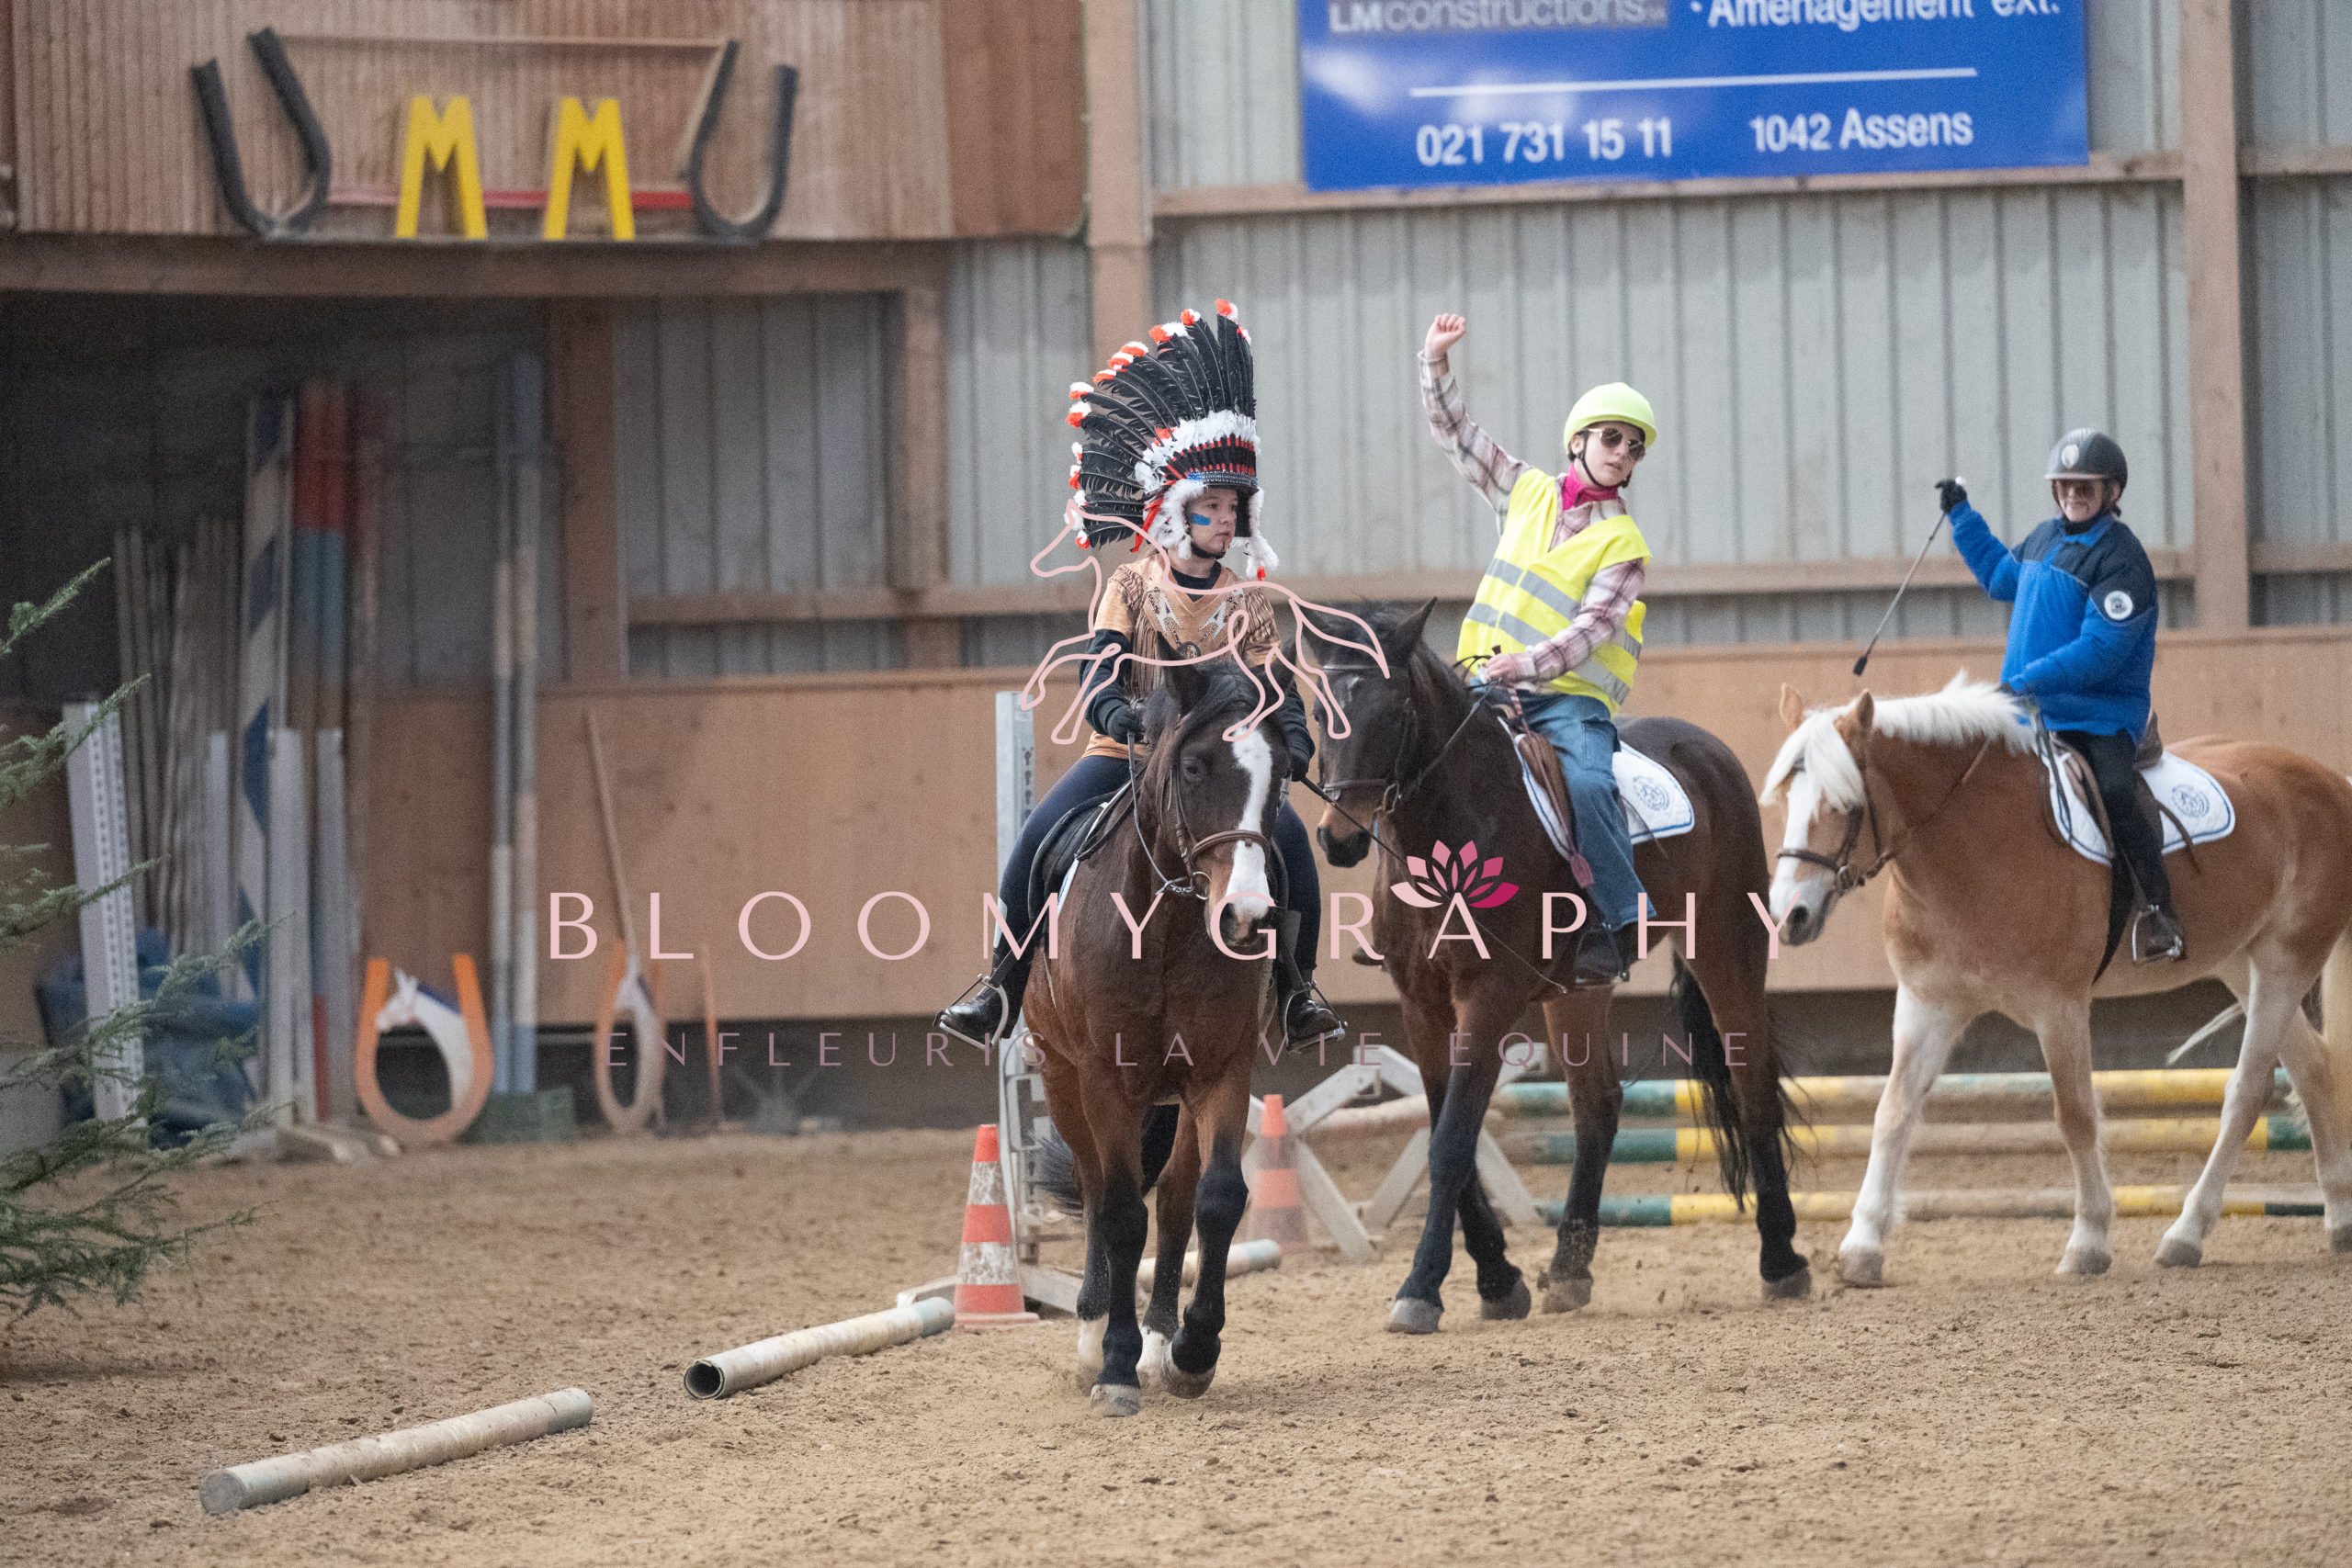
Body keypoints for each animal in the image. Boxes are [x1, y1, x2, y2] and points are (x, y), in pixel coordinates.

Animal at [1021, 657, 1289, 1417]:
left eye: (1284, 770)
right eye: (1194, 767)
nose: (1247, 918)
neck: (1164, 927)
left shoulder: (1220, 1070)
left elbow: (1216, 1199)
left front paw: (1193, 1349)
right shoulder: (1105, 1079)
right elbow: (1116, 1213)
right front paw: (1113, 1362)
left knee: (1172, 1199)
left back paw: (1163, 1333)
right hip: (1061, 1078)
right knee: (1096, 1186)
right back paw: (1091, 1329)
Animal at [1308, 600, 1810, 1331]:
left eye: (1395, 709)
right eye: (1321, 711)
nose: (1340, 838)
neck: (1457, 825)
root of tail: (1705, 747)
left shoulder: (1488, 995)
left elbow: (1453, 1139)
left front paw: (1422, 1287)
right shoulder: (1419, 1001)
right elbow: (1442, 1132)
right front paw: (1496, 1280)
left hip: (1725, 948)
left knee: (1751, 1086)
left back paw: (1782, 1259)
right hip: (1577, 991)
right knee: (1597, 1106)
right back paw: (1571, 1267)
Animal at [1761, 677, 2352, 1282]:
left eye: (1845, 804)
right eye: (1785, 801)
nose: (1789, 917)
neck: (1972, 844)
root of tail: (2331, 780)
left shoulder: (2059, 1005)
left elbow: (2074, 1115)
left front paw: (2088, 1241)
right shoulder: (1928, 1002)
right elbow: (1893, 1111)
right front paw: (1862, 1246)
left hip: (2286, 959)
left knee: (2249, 1089)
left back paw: (2185, 1234)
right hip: (2240, 961)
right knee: (2312, 1067)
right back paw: (2338, 1218)